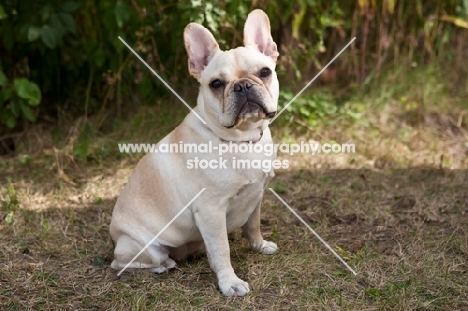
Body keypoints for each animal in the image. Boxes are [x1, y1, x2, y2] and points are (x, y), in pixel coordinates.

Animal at [109, 9, 278, 298]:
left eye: (265, 72)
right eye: (217, 84)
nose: (243, 85)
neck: (241, 140)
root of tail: (114, 236)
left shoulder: (256, 195)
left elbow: (252, 225)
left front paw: (259, 245)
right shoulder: (210, 211)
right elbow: (222, 249)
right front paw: (229, 282)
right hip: (140, 247)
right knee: (124, 263)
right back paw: (163, 265)